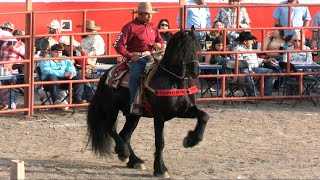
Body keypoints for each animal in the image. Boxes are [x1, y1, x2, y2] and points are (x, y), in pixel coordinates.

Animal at [86, 27, 209, 178]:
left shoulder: (183, 111)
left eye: (197, 48)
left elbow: (204, 116)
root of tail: (105, 76)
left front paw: (191, 140)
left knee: (124, 134)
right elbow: (160, 142)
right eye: (183, 49)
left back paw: (135, 161)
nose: (195, 72)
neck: (174, 81)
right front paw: (160, 170)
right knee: (111, 129)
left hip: (133, 115)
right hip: (111, 108)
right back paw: (123, 153)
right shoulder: (159, 116)